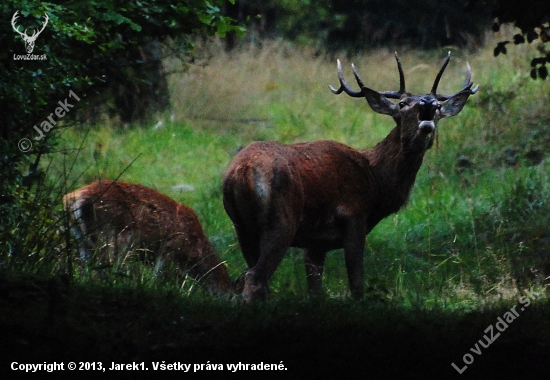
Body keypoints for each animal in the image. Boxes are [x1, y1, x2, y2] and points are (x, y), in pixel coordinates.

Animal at [64, 180, 233, 296]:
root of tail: (72, 198)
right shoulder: (171, 248)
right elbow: (159, 278)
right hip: (113, 236)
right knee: (102, 270)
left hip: (82, 238)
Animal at [223, 52, 478, 300]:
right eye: (403, 103)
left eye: (438, 107)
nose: (428, 102)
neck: (376, 182)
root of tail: (240, 172)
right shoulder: (354, 216)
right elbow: (357, 284)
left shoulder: (315, 243)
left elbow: (315, 292)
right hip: (281, 221)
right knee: (255, 278)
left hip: (241, 226)